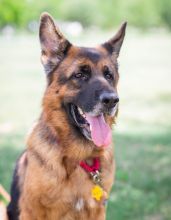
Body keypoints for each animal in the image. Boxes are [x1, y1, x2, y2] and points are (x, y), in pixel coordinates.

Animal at [6, 12, 126, 220]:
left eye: (109, 75)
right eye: (79, 75)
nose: (112, 100)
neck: (79, 157)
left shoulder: (98, 211)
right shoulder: (31, 211)